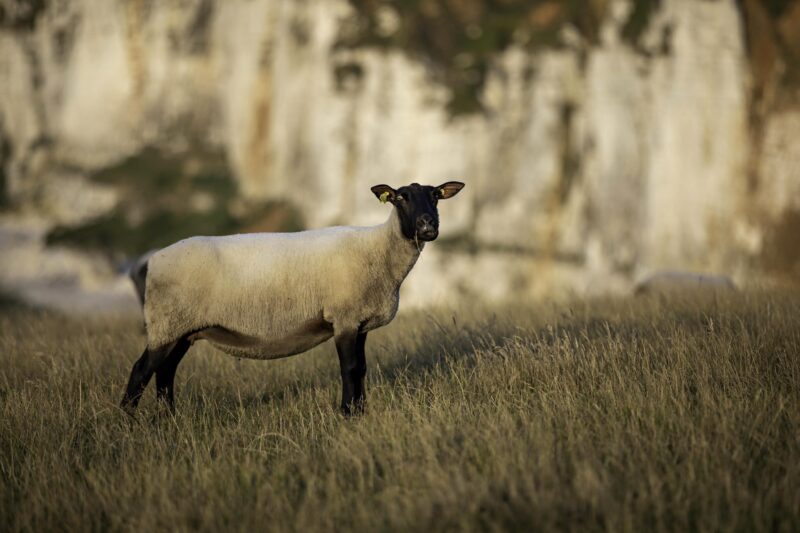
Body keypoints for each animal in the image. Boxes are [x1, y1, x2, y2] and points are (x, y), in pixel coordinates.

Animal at [121, 182, 466, 416]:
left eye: (436, 196)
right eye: (400, 197)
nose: (428, 225)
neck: (378, 250)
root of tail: (154, 261)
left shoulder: (360, 322)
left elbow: (363, 368)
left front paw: (360, 411)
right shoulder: (343, 318)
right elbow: (350, 368)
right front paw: (347, 412)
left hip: (183, 329)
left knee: (165, 373)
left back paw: (168, 419)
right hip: (166, 323)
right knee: (141, 371)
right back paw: (127, 421)